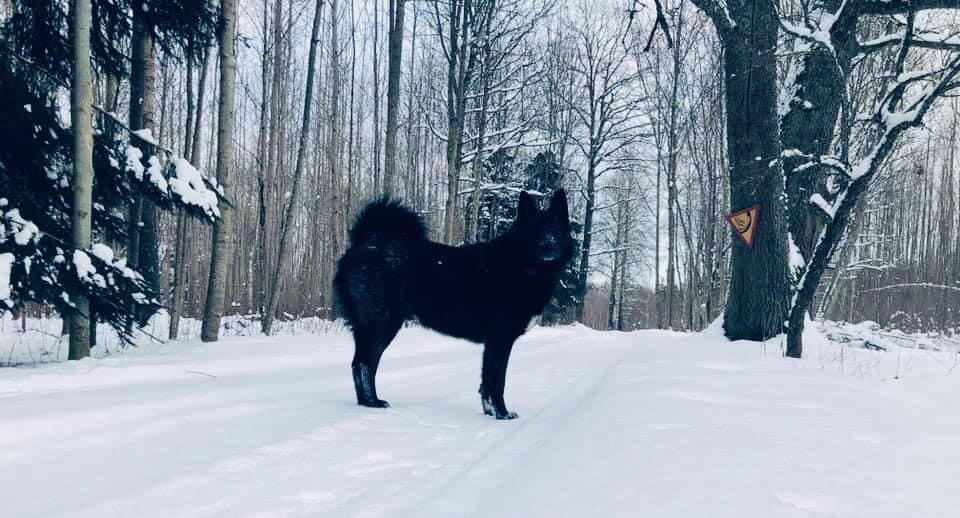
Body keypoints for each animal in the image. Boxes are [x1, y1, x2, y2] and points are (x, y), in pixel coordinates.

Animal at [332, 191, 568, 422]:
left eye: (555, 230)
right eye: (536, 230)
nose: (549, 244)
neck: (520, 266)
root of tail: (365, 242)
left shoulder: (492, 344)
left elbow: (486, 382)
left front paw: (489, 412)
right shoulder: (500, 340)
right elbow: (496, 382)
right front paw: (502, 414)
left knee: (358, 364)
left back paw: (366, 403)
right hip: (382, 323)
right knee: (364, 365)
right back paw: (373, 402)